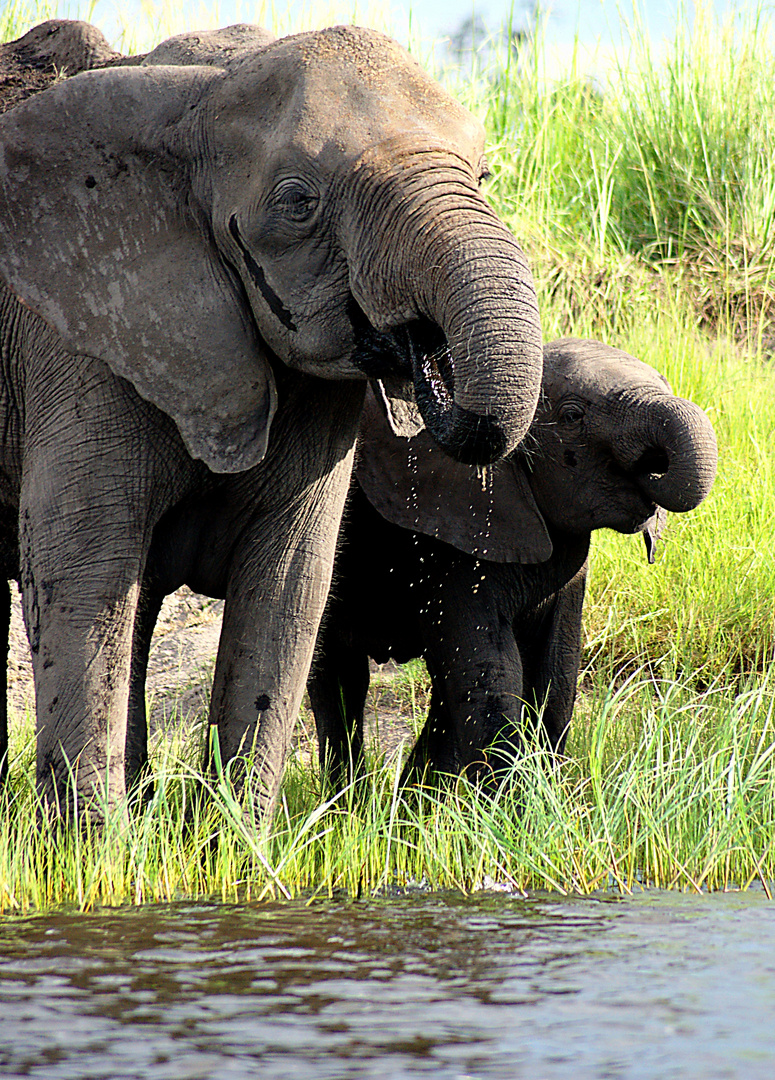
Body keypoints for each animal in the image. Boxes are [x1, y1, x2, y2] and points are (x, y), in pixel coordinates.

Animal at [0, 25, 546, 816]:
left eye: (484, 174)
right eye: (298, 203)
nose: (420, 347)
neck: (196, 96)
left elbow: (288, 588)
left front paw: (235, 838)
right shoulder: (76, 340)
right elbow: (82, 578)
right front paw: (94, 846)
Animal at [306, 336, 721, 786]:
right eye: (572, 415)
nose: (654, 464)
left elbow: (555, 670)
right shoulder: (451, 540)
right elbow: (492, 673)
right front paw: (505, 802)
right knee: (339, 677)